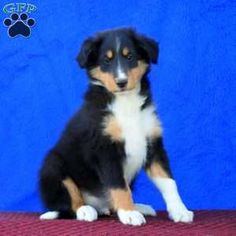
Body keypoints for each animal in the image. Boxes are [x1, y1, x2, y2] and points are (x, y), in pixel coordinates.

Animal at [39, 28, 194, 226]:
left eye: (130, 57)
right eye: (107, 60)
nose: (121, 82)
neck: (126, 102)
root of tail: (99, 206)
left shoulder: (153, 144)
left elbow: (168, 182)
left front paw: (180, 211)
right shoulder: (105, 150)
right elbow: (118, 184)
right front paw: (129, 213)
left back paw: (138, 207)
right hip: (52, 166)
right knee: (68, 203)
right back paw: (85, 210)